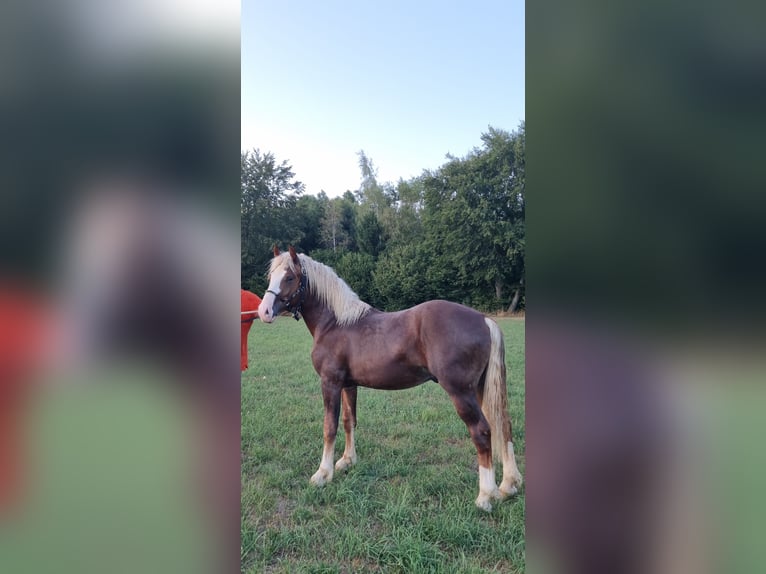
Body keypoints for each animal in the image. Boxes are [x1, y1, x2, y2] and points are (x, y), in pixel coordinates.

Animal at [258, 245, 523, 511]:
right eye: (271, 276)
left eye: (290, 277)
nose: (264, 311)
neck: (335, 323)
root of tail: (483, 319)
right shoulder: (348, 385)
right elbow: (348, 421)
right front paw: (347, 461)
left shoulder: (330, 383)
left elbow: (329, 427)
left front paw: (323, 474)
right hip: (479, 388)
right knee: (503, 424)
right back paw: (509, 485)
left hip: (461, 392)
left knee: (481, 431)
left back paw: (485, 496)